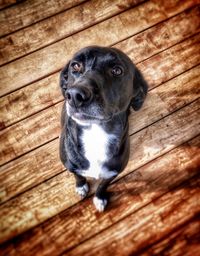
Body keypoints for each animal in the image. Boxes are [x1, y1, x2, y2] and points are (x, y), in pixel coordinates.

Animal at [58, 46, 148, 212]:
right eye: (76, 66)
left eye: (117, 70)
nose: (75, 95)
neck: (96, 133)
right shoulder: (70, 166)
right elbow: (78, 176)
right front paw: (81, 187)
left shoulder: (112, 173)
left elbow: (102, 185)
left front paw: (99, 198)